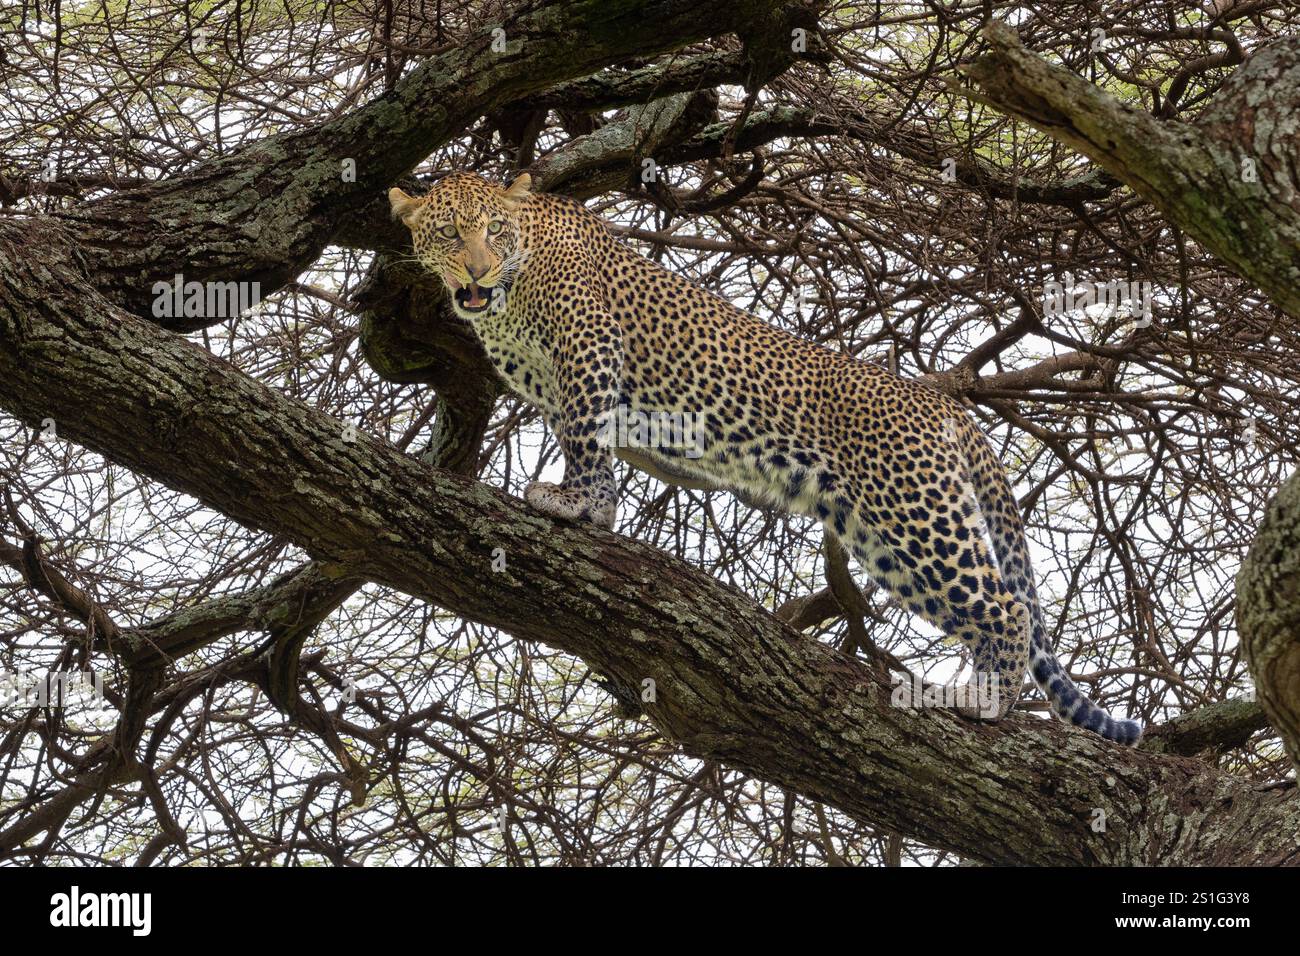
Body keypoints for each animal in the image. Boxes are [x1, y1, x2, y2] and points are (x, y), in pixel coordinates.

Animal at [389, 171, 1143, 746]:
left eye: (495, 230)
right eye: (449, 234)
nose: (478, 268)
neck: (508, 296)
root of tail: (942, 403)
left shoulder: (589, 349)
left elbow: (585, 439)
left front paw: (577, 505)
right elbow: (591, 440)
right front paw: (596, 510)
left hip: (915, 514)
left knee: (1006, 606)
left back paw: (986, 701)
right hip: (882, 533)